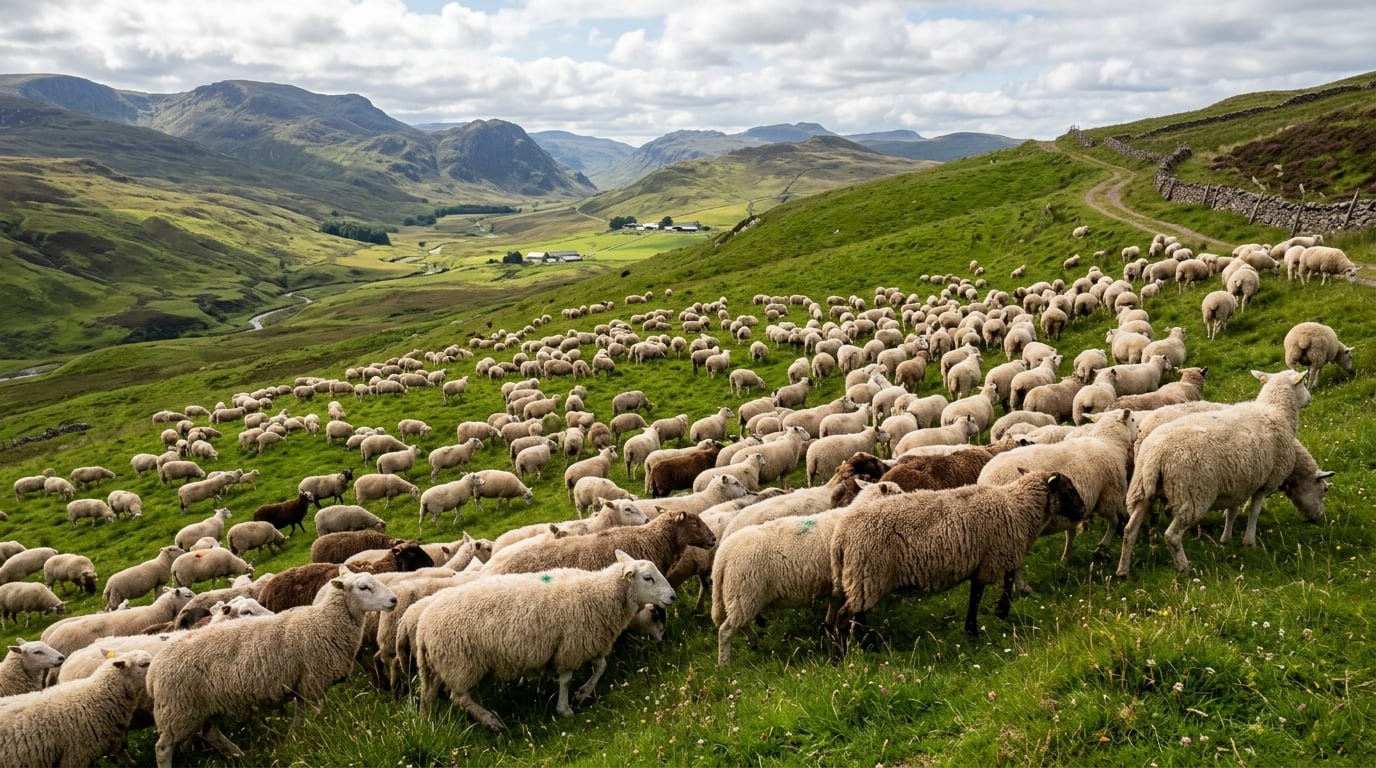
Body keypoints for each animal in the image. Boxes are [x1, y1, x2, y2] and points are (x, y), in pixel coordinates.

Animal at [149, 569, 397, 766]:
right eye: (364, 587)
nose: (394, 600)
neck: (324, 622)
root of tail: (154, 670)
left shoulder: (303, 685)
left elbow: (303, 716)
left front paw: (293, 739)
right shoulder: (311, 682)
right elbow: (311, 715)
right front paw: (302, 738)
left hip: (204, 706)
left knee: (210, 733)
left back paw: (238, 755)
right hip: (179, 710)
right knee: (162, 748)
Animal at [414, 552, 676, 730]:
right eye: (648, 578)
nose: (672, 596)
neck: (599, 593)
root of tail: (423, 625)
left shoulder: (589, 641)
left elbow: (601, 667)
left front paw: (582, 693)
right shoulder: (570, 646)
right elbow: (566, 680)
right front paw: (565, 708)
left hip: (439, 667)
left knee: (430, 695)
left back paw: (427, 721)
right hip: (461, 665)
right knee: (460, 698)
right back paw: (491, 721)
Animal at [829, 470, 1085, 651]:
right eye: (1069, 488)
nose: (1083, 510)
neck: (1018, 507)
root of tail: (840, 537)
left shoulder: (990, 558)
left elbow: (994, 585)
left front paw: (984, 621)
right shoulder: (996, 556)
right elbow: (989, 589)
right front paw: (990, 619)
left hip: (861, 579)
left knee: (858, 616)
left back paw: (866, 645)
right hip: (868, 575)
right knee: (844, 618)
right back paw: (846, 653)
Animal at [1116, 369, 1310, 577]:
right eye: (1303, 383)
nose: (1310, 399)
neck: (1276, 410)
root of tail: (1156, 456)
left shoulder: (1239, 483)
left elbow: (1232, 512)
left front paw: (1226, 539)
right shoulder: (1267, 482)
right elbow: (1254, 513)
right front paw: (1249, 542)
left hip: (1142, 491)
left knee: (1130, 531)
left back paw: (1123, 570)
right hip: (1192, 495)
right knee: (1172, 536)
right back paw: (1184, 567)